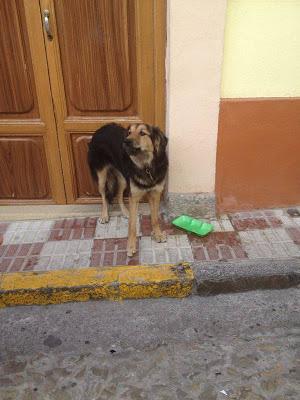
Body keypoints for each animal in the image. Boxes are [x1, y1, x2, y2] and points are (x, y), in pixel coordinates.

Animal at [89, 122, 169, 256]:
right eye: (129, 132)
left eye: (142, 133)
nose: (125, 141)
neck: (146, 166)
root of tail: (103, 127)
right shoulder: (134, 197)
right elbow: (132, 225)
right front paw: (131, 246)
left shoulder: (155, 193)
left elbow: (155, 218)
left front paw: (157, 234)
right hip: (102, 176)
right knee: (104, 195)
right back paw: (104, 215)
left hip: (123, 180)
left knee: (118, 195)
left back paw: (125, 212)